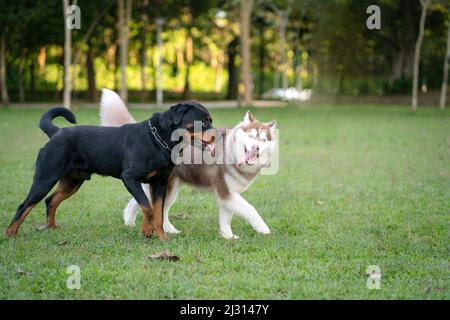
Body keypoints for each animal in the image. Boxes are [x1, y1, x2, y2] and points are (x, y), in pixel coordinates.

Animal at [4, 102, 214, 240]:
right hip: (45, 177)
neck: (160, 139)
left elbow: (158, 213)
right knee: (24, 205)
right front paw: (146, 230)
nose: (216, 135)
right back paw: (10, 233)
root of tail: (56, 133)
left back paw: (52, 228)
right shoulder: (129, 178)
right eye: (203, 123)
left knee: (51, 201)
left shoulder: (160, 184)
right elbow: (147, 207)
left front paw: (162, 238)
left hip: (72, 181)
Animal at [99, 89, 276, 239]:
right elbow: (250, 209)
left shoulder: (228, 195)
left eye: (263, 140)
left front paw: (228, 236)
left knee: (147, 205)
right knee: (157, 209)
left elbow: (226, 218)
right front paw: (264, 229)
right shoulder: (225, 191)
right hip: (168, 187)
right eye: (251, 136)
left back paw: (134, 222)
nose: (256, 147)